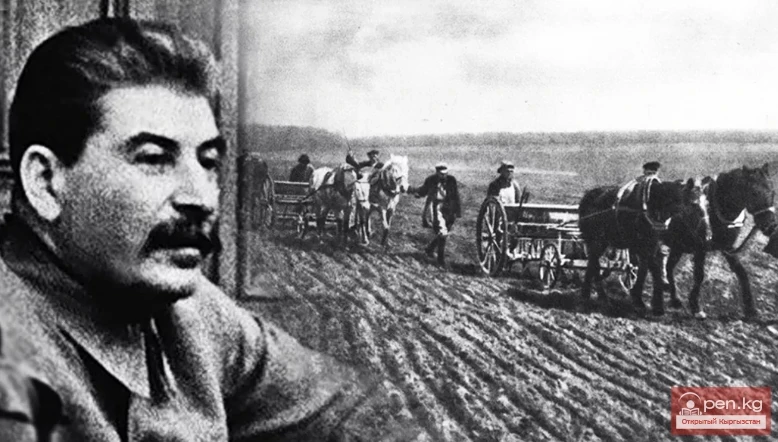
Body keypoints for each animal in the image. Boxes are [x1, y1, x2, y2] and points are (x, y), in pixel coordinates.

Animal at [578, 178, 708, 315]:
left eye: (707, 203)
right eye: (693, 204)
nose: (705, 234)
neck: (652, 204)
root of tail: (587, 196)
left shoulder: (650, 245)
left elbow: (644, 271)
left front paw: (639, 300)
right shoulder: (644, 247)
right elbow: (655, 271)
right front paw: (656, 305)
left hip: (600, 242)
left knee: (592, 264)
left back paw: (591, 294)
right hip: (597, 241)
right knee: (594, 264)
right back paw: (596, 296)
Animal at [665, 164, 777, 319]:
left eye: (773, 192)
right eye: (754, 193)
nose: (770, 226)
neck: (713, 209)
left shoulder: (728, 248)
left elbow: (742, 273)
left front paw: (750, 309)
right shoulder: (700, 248)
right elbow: (699, 275)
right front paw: (696, 306)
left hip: (677, 247)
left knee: (669, 267)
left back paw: (675, 299)